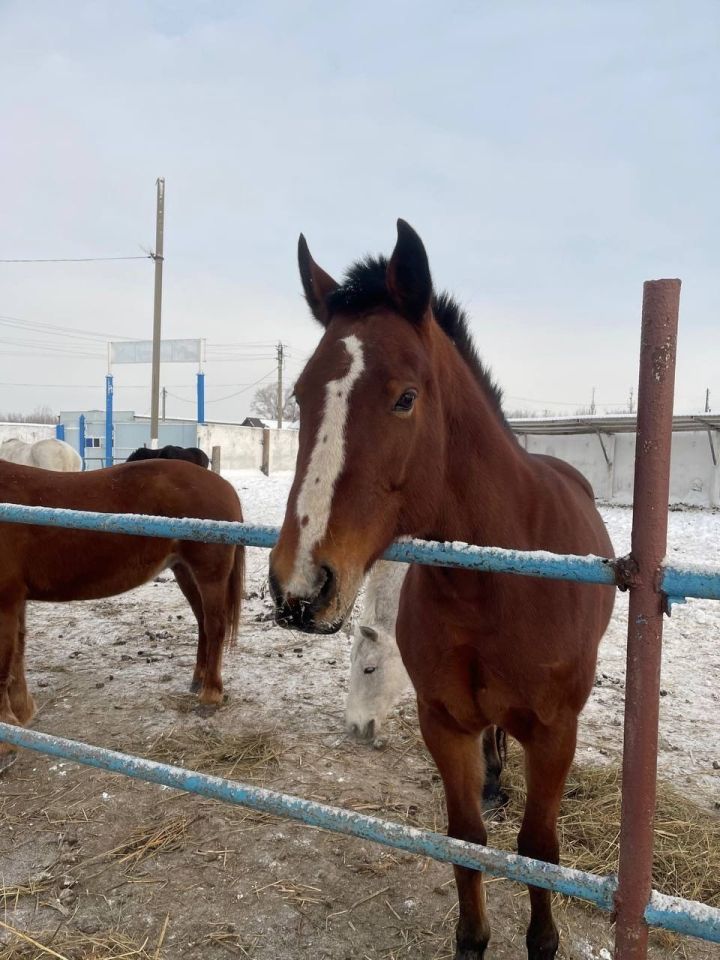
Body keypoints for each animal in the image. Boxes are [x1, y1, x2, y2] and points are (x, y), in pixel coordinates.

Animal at [0, 458, 245, 764]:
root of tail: (225, 486)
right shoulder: (15, 599)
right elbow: (17, 654)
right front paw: (22, 714)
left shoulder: (6, 600)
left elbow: (4, 662)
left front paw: (6, 738)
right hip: (184, 572)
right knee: (203, 623)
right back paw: (198, 681)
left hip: (209, 575)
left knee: (215, 627)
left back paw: (210, 694)